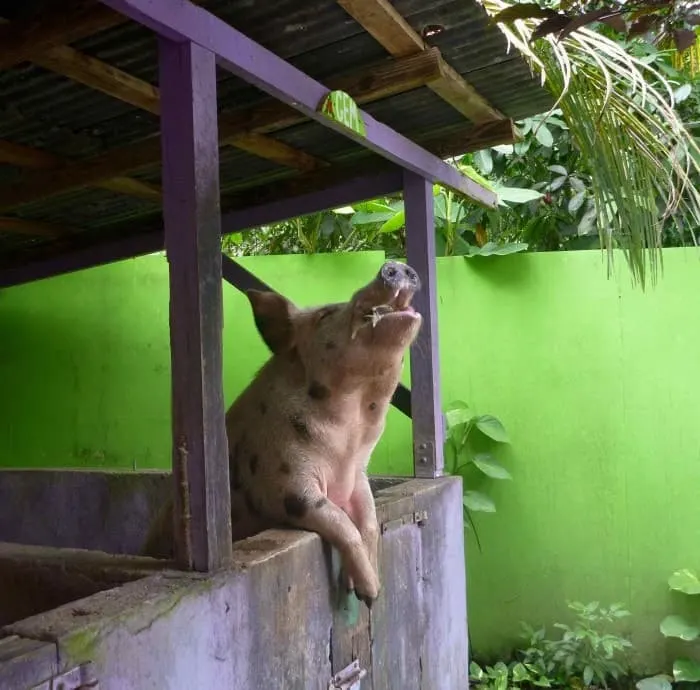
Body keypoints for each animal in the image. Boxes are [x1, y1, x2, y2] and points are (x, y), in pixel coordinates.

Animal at [144, 260, 422, 604]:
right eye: (324, 316)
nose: (393, 265)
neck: (347, 441)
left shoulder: (358, 474)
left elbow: (369, 519)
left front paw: (368, 592)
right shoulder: (285, 482)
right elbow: (339, 520)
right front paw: (370, 593)